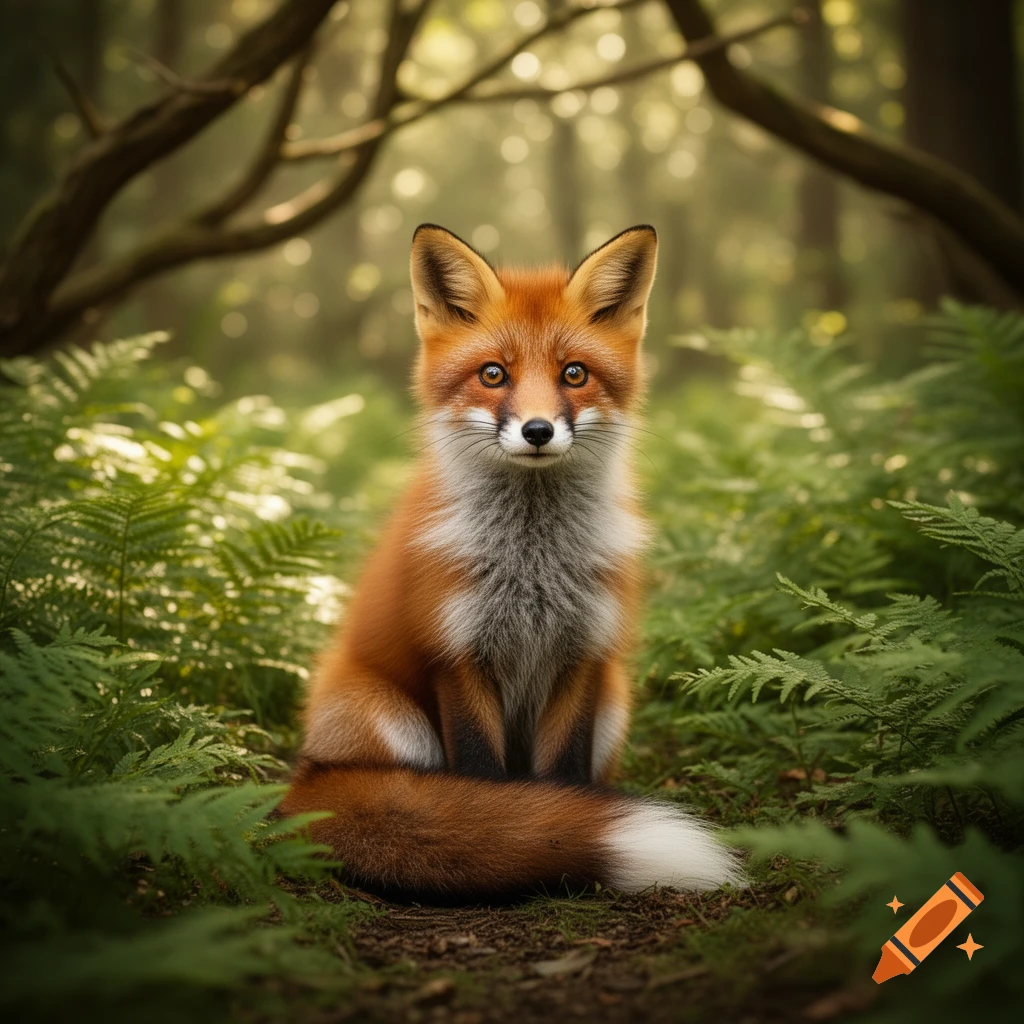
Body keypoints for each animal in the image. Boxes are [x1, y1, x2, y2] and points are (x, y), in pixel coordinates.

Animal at [279, 224, 741, 898]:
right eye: (493, 374)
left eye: (574, 374)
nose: (538, 430)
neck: (532, 566)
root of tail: (306, 776)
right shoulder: (457, 653)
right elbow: (483, 785)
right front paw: (498, 834)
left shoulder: (582, 653)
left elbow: (565, 781)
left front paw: (559, 830)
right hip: (390, 718)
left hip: (615, 701)